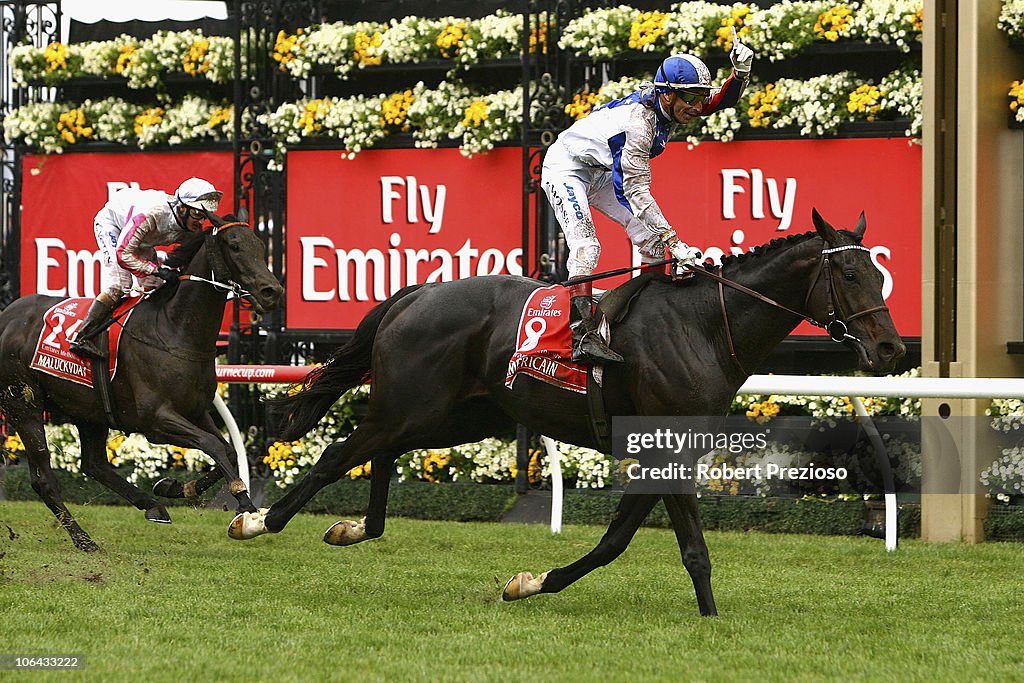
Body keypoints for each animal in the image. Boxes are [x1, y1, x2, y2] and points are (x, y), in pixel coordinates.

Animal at [0, 214, 280, 548]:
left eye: (261, 245)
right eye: (235, 246)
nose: (272, 291)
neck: (174, 329)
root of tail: (6, 317)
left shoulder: (196, 412)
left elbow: (227, 449)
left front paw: (174, 487)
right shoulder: (156, 421)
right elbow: (212, 444)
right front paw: (246, 507)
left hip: (88, 410)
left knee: (94, 464)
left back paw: (152, 505)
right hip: (23, 404)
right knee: (44, 478)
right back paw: (84, 539)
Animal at [226, 208, 905, 614]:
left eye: (878, 270)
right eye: (848, 274)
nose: (891, 349)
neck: (706, 327)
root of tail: (416, 293)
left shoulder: (665, 455)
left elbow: (615, 541)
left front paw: (530, 583)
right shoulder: (666, 448)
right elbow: (689, 546)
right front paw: (713, 620)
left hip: (454, 415)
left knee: (379, 451)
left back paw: (355, 527)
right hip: (415, 407)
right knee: (341, 452)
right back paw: (257, 520)